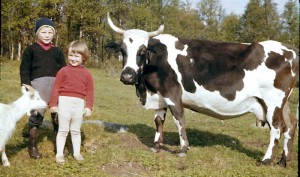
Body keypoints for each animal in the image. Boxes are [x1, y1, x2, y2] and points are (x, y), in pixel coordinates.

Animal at [105, 13, 298, 167]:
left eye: (143, 50)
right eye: (122, 50)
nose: (127, 76)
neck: (146, 87)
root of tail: (290, 49)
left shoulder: (172, 94)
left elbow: (179, 120)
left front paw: (183, 148)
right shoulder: (159, 95)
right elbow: (159, 121)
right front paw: (156, 146)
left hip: (273, 101)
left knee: (277, 128)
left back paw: (266, 159)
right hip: (284, 103)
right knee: (291, 125)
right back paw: (284, 161)